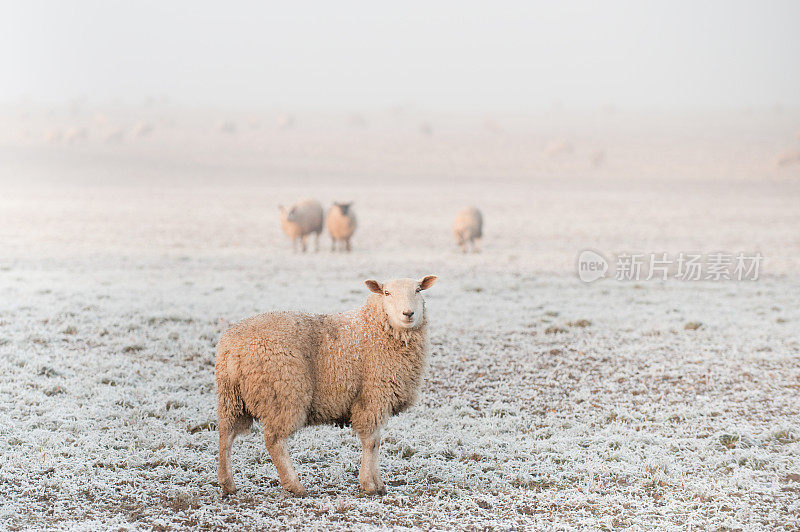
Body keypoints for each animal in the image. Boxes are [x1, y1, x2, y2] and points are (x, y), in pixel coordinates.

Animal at [216, 276, 438, 496]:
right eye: (387, 293)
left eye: (418, 290)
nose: (408, 313)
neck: (375, 328)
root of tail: (232, 348)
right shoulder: (373, 397)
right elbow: (372, 442)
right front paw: (370, 484)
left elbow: (375, 442)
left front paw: (377, 483)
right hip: (282, 393)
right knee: (274, 441)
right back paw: (295, 486)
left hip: (232, 397)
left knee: (226, 435)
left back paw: (227, 483)